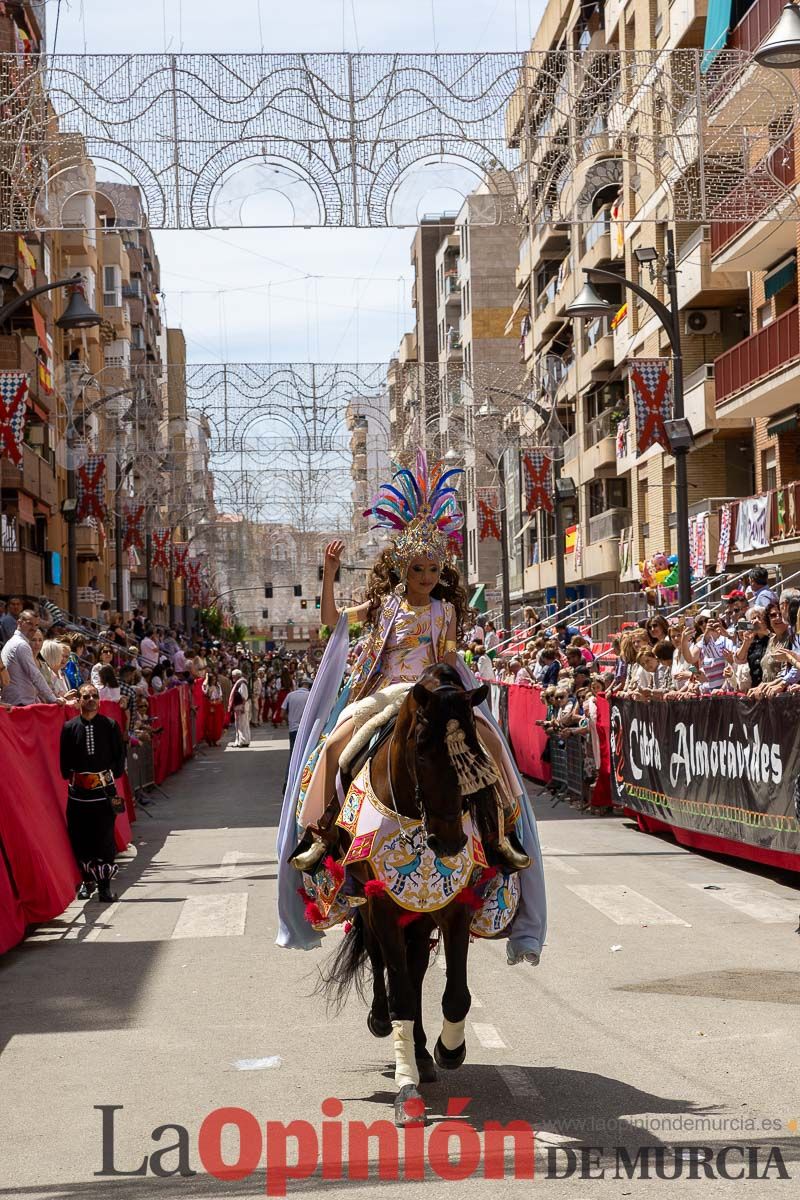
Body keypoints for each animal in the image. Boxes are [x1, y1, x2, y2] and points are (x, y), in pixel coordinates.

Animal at [319, 667, 489, 1123]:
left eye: (475, 757)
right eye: (423, 753)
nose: (449, 843)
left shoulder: (453, 908)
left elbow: (456, 996)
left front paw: (449, 1050)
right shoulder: (381, 906)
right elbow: (400, 995)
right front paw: (406, 1090)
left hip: (419, 917)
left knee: (415, 969)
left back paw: (423, 1053)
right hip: (375, 910)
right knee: (383, 962)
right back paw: (384, 1024)